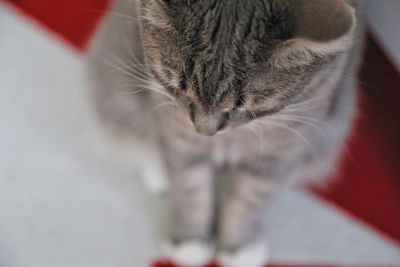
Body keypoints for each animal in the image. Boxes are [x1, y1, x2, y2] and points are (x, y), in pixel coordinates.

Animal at [89, 0, 364, 267]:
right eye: (178, 89)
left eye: (241, 108)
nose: (204, 131)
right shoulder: (179, 134)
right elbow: (190, 191)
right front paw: (189, 241)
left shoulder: (280, 151)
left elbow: (250, 201)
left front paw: (238, 246)